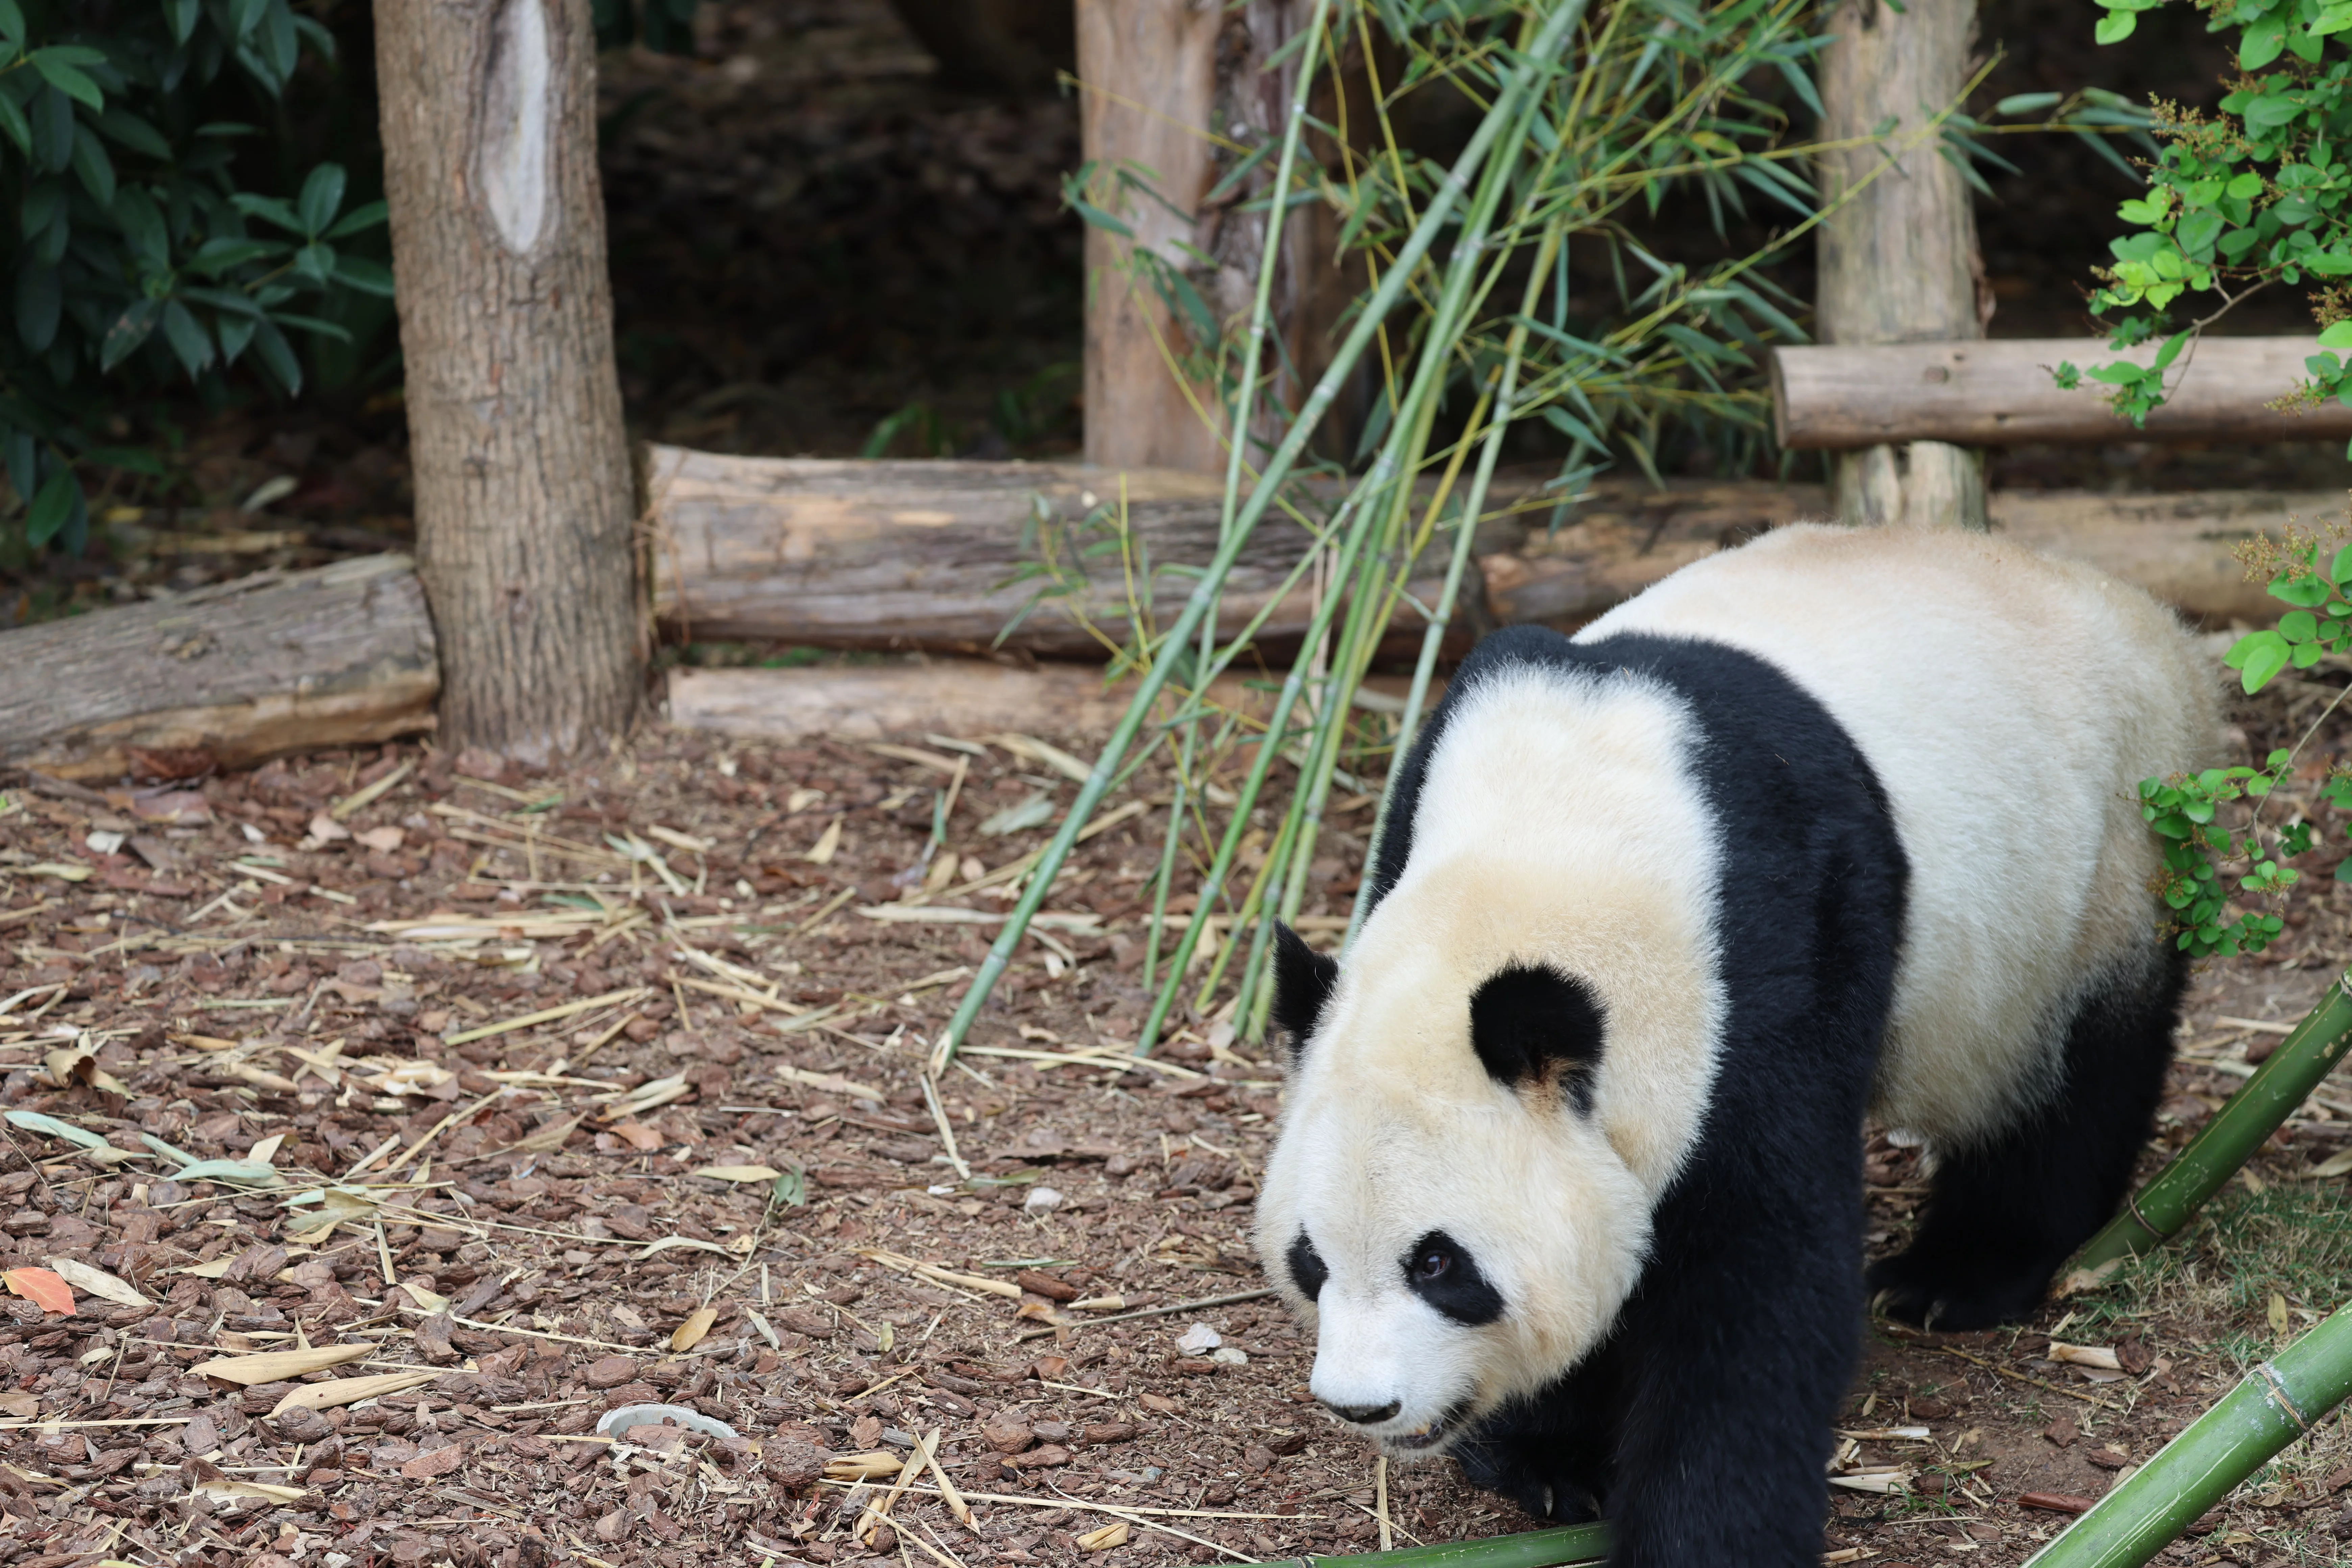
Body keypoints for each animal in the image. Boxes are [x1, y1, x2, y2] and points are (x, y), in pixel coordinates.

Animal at [1254, 523, 2217, 1565]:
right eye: (1310, 1258)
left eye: (1438, 1264)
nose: (1364, 1406)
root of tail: (2140, 610)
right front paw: (1550, 1458)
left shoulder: (1778, 955)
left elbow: (1760, 1282)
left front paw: (1701, 1533)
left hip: (2103, 863)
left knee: (2067, 1078)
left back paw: (1957, 1273)